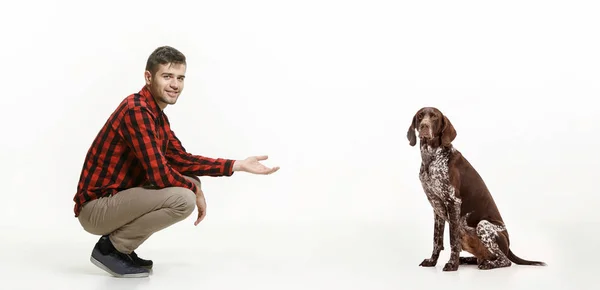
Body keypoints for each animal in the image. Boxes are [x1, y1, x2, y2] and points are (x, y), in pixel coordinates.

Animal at [406, 107, 548, 272]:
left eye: (434, 117)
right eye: (420, 116)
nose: (424, 126)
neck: (431, 157)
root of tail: (509, 246)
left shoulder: (453, 202)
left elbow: (452, 240)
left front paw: (452, 264)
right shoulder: (437, 207)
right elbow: (437, 240)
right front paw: (432, 261)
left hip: (483, 225)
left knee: (505, 261)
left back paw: (485, 264)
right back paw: (468, 260)